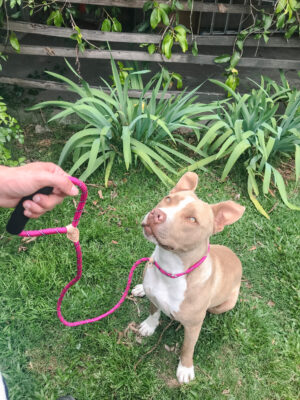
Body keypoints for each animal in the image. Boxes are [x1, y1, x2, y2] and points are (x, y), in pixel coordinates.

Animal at [132, 172, 245, 384]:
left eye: (192, 219)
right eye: (168, 198)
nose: (156, 213)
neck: (169, 268)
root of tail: (236, 257)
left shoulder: (193, 326)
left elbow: (187, 347)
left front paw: (185, 368)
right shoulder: (154, 295)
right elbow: (153, 311)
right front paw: (149, 326)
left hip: (224, 305)